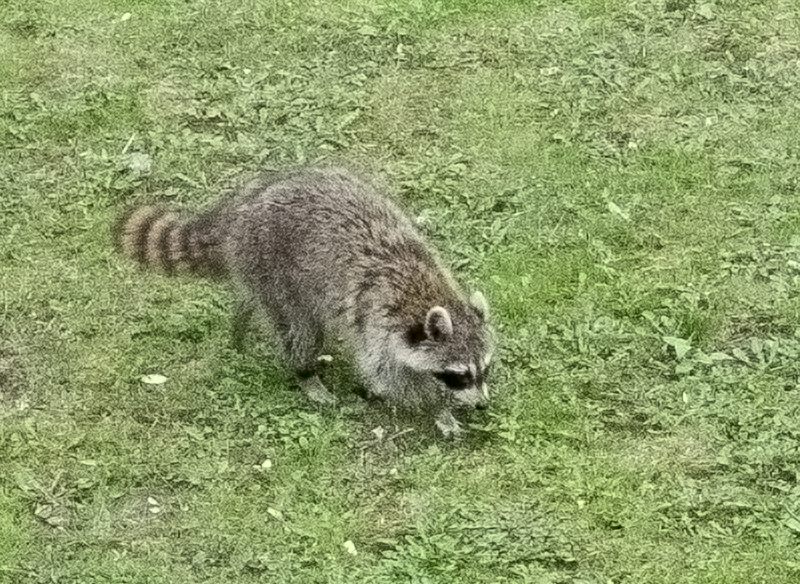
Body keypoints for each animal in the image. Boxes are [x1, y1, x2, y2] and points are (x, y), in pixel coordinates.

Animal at [118, 167, 494, 436]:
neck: (425, 292)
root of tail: (243, 207)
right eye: (458, 375)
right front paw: (439, 408)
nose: (482, 406)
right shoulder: (375, 320)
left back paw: (241, 319)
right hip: (273, 265)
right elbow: (387, 376)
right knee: (300, 328)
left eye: (485, 368)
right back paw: (305, 373)